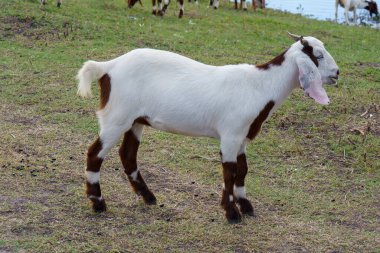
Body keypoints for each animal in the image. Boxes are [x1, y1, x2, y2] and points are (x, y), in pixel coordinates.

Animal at [76, 32, 338, 222]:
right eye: (318, 55)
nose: (337, 73)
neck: (261, 85)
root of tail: (108, 66)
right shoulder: (231, 135)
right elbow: (230, 171)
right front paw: (232, 214)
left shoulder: (242, 137)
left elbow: (243, 170)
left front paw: (245, 206)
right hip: (117, 117)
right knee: (95, 153)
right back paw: (98, 203)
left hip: (136, 120)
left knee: (128, 154)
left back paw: (148, 197)